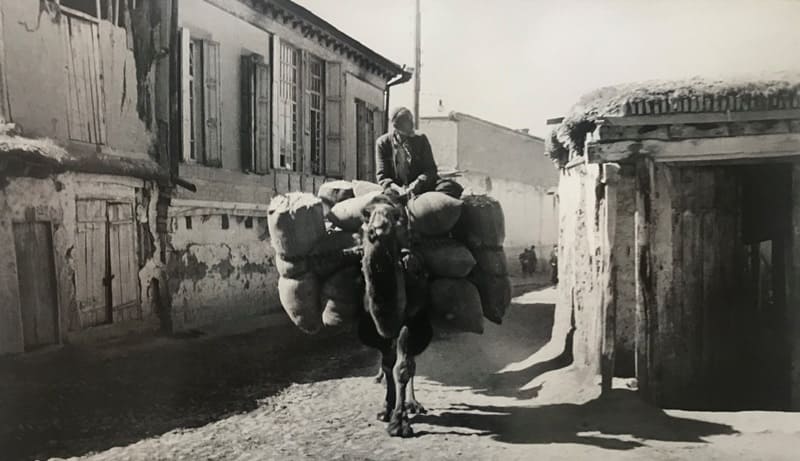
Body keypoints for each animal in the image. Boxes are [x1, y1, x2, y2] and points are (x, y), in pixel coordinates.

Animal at [356, 192, 432, 436]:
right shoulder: (375, 328)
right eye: (366, 214)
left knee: (412, 361)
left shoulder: (411, 322)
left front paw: (399, 422)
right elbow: (388, 365)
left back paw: (412, 403)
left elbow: (403, 367)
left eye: (397, 215)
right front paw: (386, 409)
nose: (378, 229)